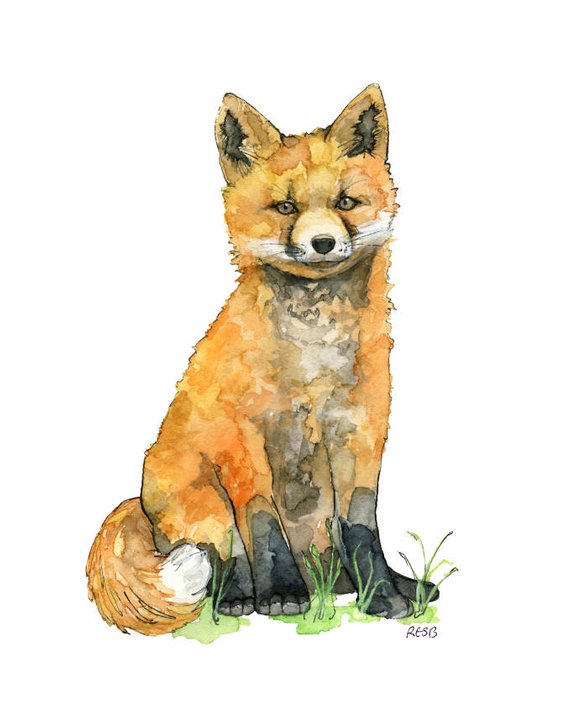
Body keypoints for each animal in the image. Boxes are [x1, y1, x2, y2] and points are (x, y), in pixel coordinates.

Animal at [86, 84, 437, 635]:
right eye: (286, 207)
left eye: (346, 203)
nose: (322, 242)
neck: (313, 361)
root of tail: (138, 499)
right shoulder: (244, 436)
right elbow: (262, 522)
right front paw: (281, 596)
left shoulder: (361, 429)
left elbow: (363, 526)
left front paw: (382, 596)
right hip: (205, 503)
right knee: (224, 558)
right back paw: (241, 598)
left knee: (333, 556)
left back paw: (375, 585)